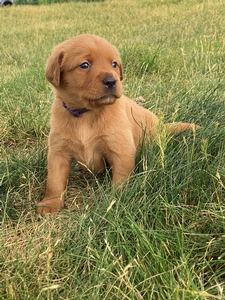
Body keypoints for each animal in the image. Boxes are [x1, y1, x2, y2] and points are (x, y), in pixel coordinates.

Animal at [37, 34, 200, 214]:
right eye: (84, 65)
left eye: (114, 64)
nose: (111, 81)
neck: (87, 114)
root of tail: (162, 127)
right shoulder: (58, 152)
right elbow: (54, 180)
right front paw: (50, 203)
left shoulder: (121, 150)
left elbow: (120, 180)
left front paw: (117, 200)